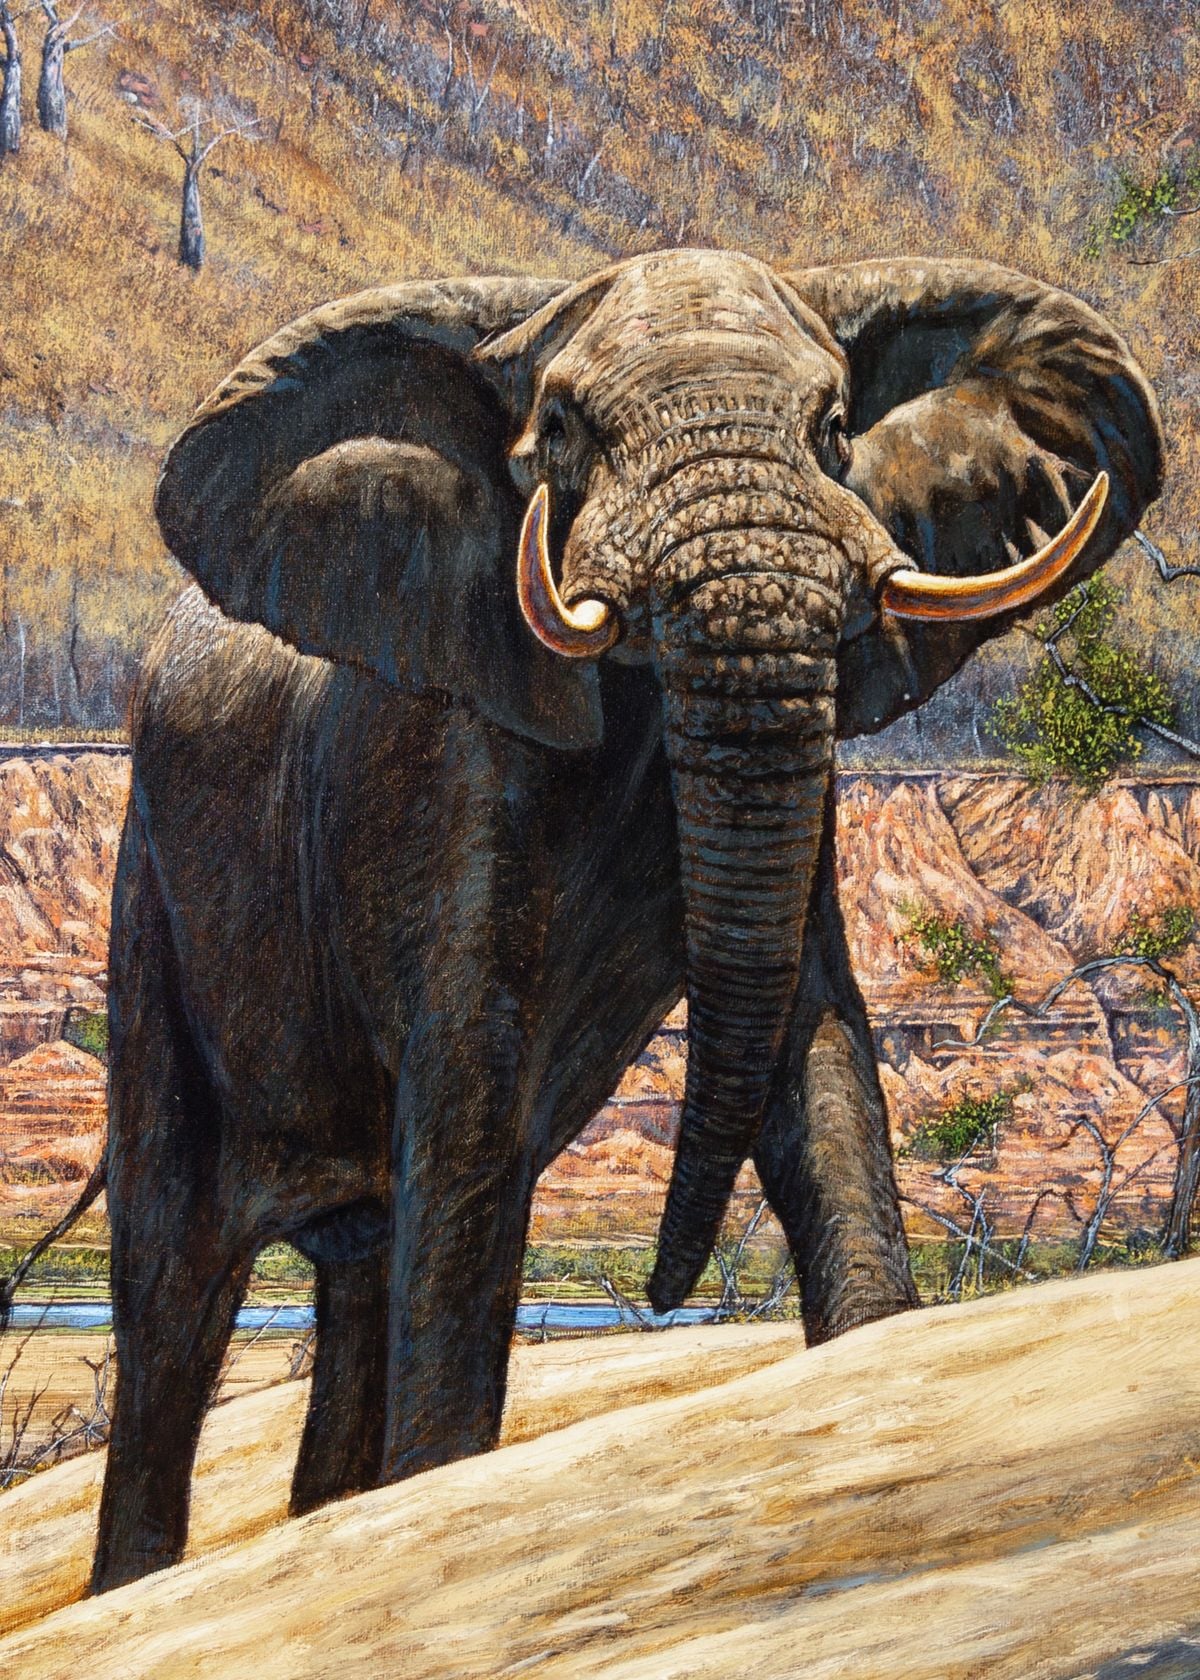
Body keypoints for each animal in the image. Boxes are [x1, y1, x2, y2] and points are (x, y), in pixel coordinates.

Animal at [92, 249, 1162, 1594]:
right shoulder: (444, 758)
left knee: (356, 1268)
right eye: (561, 432)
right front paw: (445, 1481)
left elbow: (810, 1048)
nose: (658, 1293)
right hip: (154, 910)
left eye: (833, 432)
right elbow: (473, 1107)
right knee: (173, 1287)